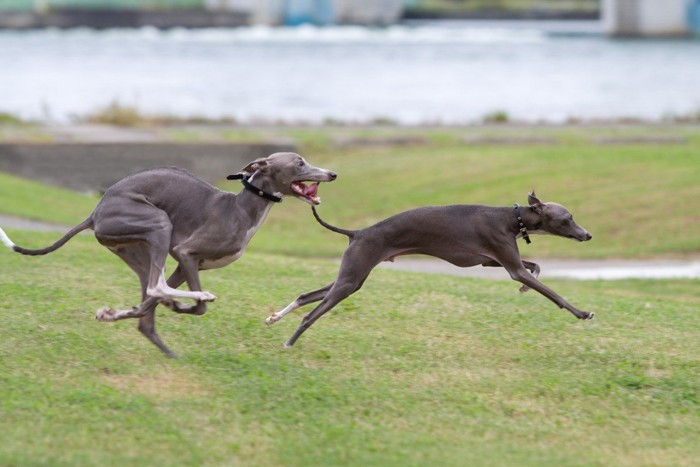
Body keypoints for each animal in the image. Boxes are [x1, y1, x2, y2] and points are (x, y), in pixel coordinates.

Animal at [0, 152, 336, 356]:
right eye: (300, 163)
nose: (332, 173)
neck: (241, 208)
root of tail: (95, 212)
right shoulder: (185, 252)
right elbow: (197, 308)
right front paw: (187, 303)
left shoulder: (186, 264)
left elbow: (147, 308)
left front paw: (117, 313)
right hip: (158, 224)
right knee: (154, 286)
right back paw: (187, 299)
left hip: (137, 249)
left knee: (148, 300)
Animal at [266, 192, 592, 350]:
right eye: (568, 218)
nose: (587, 235)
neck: (512, 218)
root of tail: (358, 232)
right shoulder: (508, 262)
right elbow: (553, 293)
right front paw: (583, 313)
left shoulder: (492, 261)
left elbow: (535, 268)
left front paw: (526, 287)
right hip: (351, 278)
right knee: (310, 314)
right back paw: (289, 343)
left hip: (350, 276)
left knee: (306, 295)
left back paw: (274, 318)